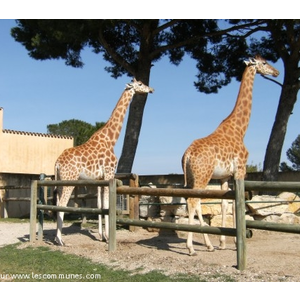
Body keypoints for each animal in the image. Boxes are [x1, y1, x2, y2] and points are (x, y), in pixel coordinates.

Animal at [53, 78, 155, 245]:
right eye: (140, 84)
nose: (151, 89)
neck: (111, 139)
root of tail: (57, 163)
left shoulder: (100, 178)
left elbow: (100, 205)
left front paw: (102, 236)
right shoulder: (109, 173)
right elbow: (108, 204)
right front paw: (108, 237)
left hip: (59, 180)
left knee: (56, 203)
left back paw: (56, 238)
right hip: (69, 179)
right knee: (62, 204)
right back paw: (60, 240)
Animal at [182, 54, 280, 255]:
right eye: (264, 62)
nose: (277, 72)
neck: (240, 129)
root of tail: (187, 154)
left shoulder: (224, 176)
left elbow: (225, 203)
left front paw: (221, 242)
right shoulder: (240, 171)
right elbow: (236, 204)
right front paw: (235, 242)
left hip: (192, 177)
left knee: (194, 202)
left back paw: (209, 245)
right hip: (203, 176)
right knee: (194, 201)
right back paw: (191, 247)